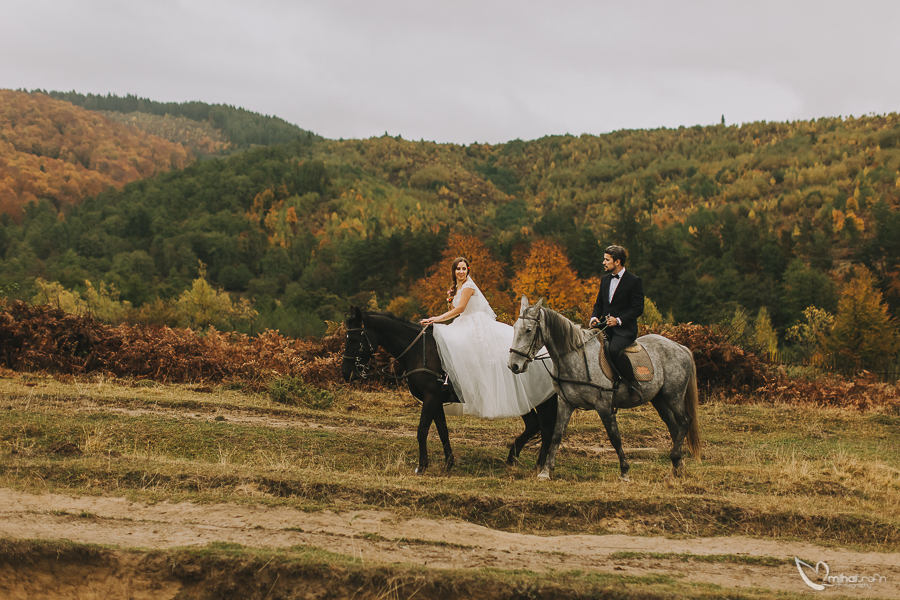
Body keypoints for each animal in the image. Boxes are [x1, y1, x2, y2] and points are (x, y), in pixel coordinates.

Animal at [510, 298, 700, 480]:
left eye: (528, 330)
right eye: (515, 327)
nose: (514, 365)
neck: (576, 358)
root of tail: (680, 347)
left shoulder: (604, 406)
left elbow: (615, 437)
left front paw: (624, 472)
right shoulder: (566, 403)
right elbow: (557, 435)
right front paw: (545, 471)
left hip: (673, 396)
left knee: (684, 421)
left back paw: (676, 459)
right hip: (659, 399)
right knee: (674, 426)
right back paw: (677, 468)